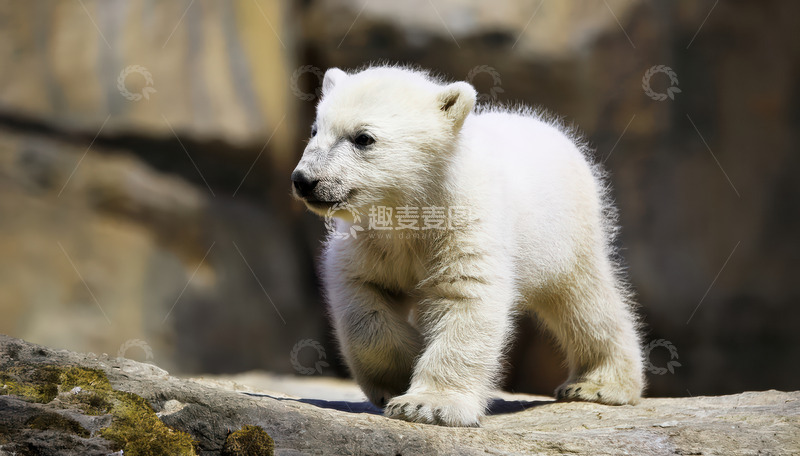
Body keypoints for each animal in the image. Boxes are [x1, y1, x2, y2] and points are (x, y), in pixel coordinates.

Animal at [291, 65, 644, 427]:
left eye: (363, 137)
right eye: (315, 129)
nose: (304, 180)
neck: (413, 208)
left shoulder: (465, 225)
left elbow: (465, 299)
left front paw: (425, 405)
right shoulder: (370, 241)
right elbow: (364, 297)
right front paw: (401, 372)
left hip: (567, 233)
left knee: (584, 302)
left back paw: (598, 385)